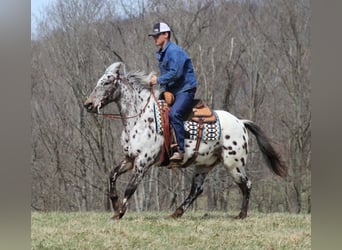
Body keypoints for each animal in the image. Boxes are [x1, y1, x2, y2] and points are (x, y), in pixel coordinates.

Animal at [84, 61, 288, 220]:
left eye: (106, 82)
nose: (88, 104)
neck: (140, 119)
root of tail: (241, 122)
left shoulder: (143, 162)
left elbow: (130, 188)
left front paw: (119, 212)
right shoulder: (129, 159)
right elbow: (112, 175)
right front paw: (115, 202)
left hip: (233, 164)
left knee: (246, 184)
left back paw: (241, 215)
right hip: (204, 165)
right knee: (197, 190)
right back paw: (177, 212)